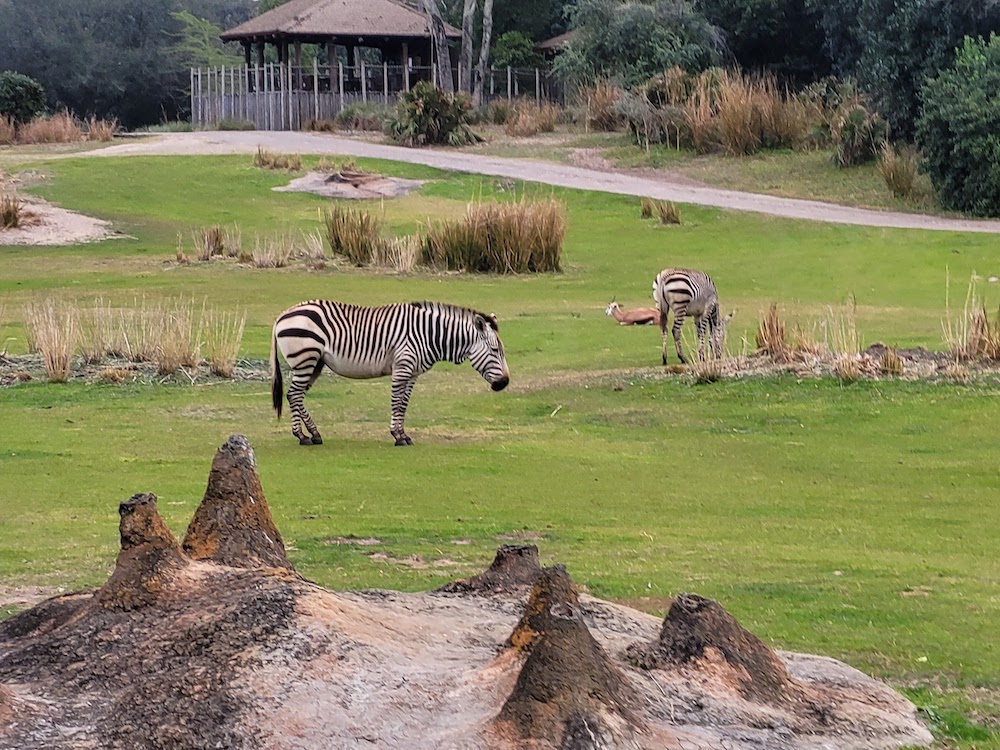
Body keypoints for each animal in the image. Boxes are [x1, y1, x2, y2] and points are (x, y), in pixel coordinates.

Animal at [270, 302, 508, 450]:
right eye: (495, 351)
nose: (504, 383)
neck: (430, 335)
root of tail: (281, 316)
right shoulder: (402, 368)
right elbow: (396, 402)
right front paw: (397, 436)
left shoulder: (413, 373)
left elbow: (404, 404)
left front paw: (404, 435)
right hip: (305, 359)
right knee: (294, 394)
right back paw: (302, 437)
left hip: (315, 363)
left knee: (297, 396)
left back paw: (314, 434)